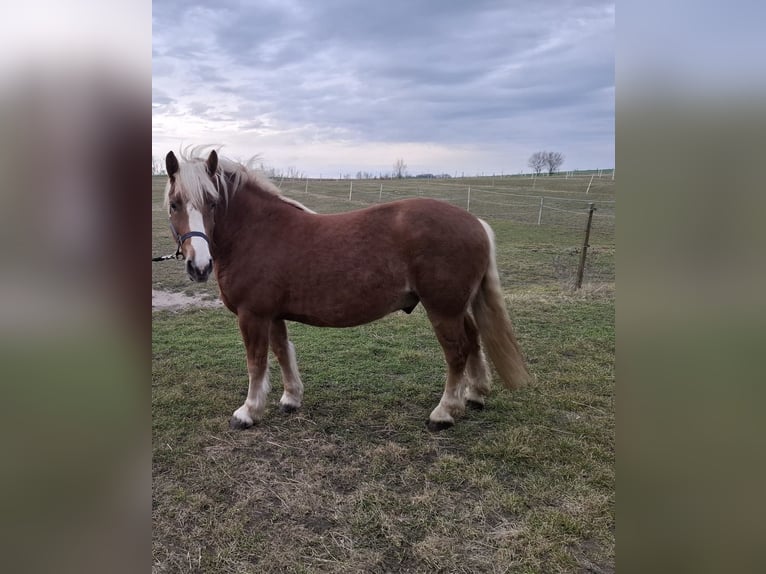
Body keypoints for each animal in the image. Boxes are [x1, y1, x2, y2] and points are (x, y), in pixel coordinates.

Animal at [163, 147, 532, 431]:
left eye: (212, 203)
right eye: (175, 203)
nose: (199, 267)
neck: (256, 232)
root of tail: (476, 223)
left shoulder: (252, 315)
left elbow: (256, 362)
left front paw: (248, 412)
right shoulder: (273, 315)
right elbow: (283, 352)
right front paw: (291, 398)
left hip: (443, 309)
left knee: (456, 352)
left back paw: (444, 413)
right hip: (457, 307)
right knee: (473, 340)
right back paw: (475, 395)